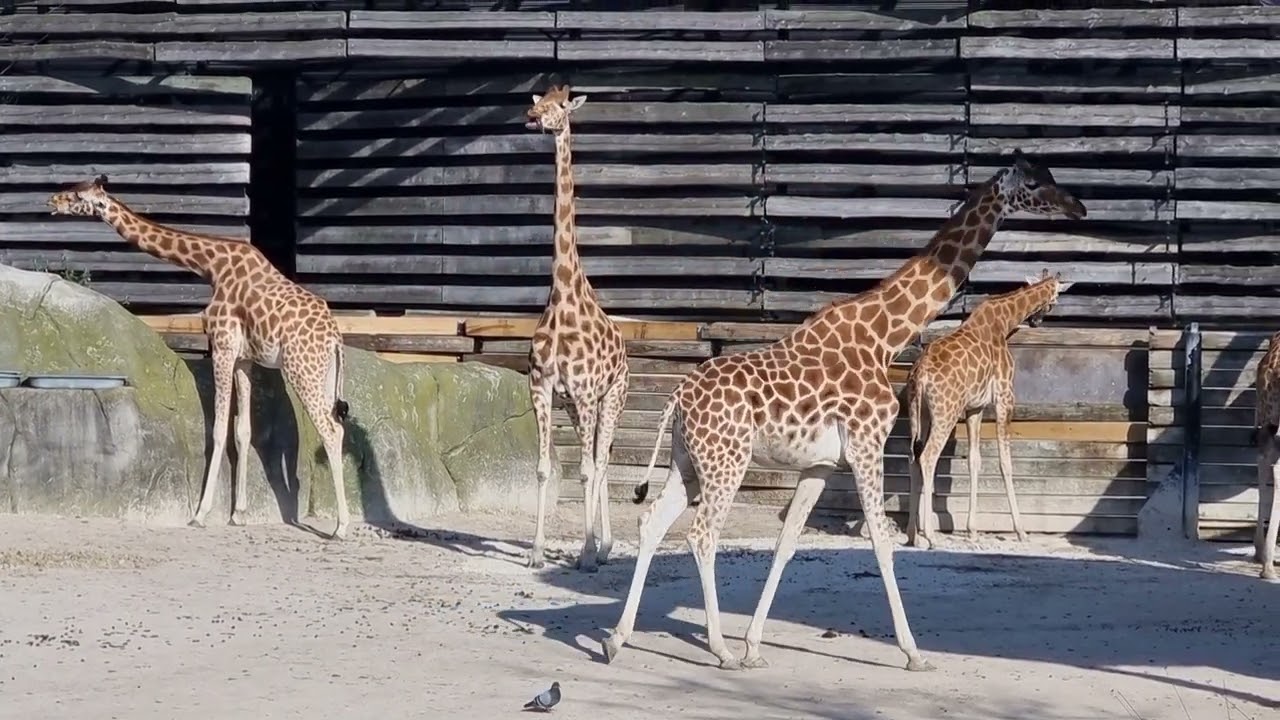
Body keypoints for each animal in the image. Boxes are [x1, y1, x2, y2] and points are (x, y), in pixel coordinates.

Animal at [47, 175, 352, 540]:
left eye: (77, 196)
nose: (52, 201)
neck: (212, 266)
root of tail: (334, 338)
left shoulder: (221, 345)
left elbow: (219, 430)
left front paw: (201, 513)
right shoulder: (243, 358)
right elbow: (243, 430)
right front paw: (238, 514)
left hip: (301, 370)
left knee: (329, 431)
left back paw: (341, 527)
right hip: (324, 374)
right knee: (337, 428)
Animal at [903, 269, 1074, 551]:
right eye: (1056, 298)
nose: (1037, 320)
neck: (1004, 321)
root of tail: (921, 375)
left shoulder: (976, 407)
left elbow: (974, 461)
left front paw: (972, 530)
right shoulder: (1005, 397)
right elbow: (1005, 462)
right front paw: (1021, 531)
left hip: (918, 412)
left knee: (912, 457)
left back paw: (911, 534)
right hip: (945, 413)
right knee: (928, 457)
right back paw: (929, 535)